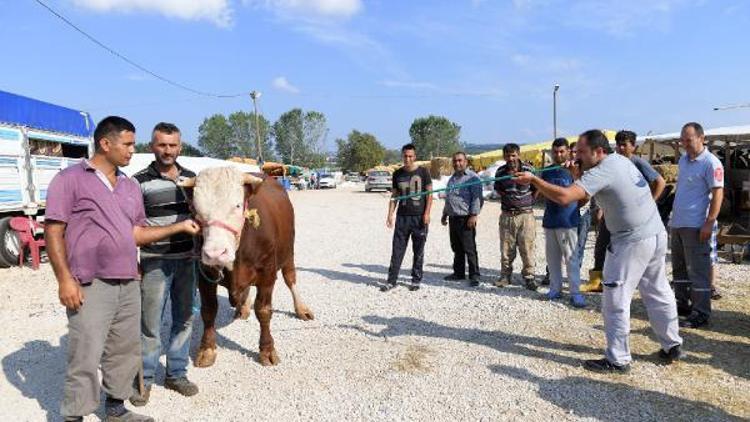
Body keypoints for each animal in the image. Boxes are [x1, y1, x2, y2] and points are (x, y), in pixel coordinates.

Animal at [180, 166, 314, 368]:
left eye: (237, 205)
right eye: (195, 209)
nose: (215, 253)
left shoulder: (267, 274)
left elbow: (264, 311)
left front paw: (267, 349)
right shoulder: (205, 276)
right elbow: (208, 310)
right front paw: (207, 349)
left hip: (288, 251)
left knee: (290, 279)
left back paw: (301, 308)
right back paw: (243, 307)